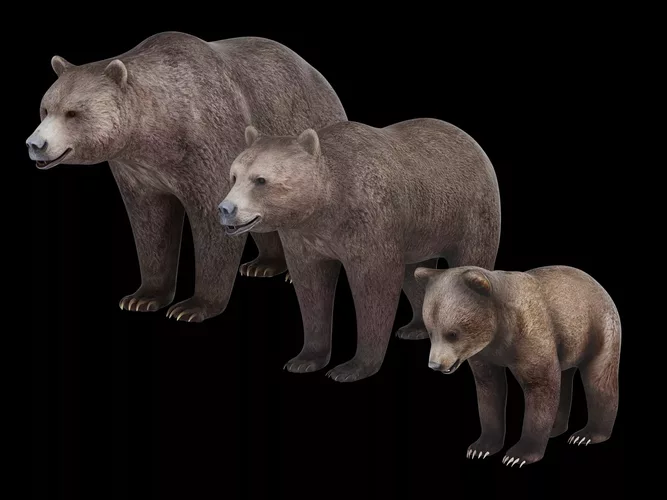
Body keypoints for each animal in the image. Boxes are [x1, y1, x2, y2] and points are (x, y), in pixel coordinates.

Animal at [25, 32, 347, 322]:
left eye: (72, 113)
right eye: (45, 108)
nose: (35, 144)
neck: (156, 131)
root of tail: (319, 76)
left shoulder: (208, 145)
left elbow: (211, 221)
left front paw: (192, 306)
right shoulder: (139, 172)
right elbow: (150, 223)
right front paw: (142, 298)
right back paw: (264, 264)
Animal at [217, 118, 501, 382]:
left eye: (260, 180)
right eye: (234, 175)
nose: (225, 208)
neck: (325, 206)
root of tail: (470, 140)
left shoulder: (369, 224)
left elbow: (375, 285)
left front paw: (350, 368)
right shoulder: (305, 239)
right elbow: (311, 287)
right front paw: (304, 359)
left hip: (470, 214)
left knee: (472, 258)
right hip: (420, 231)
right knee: (414, 274)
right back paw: (415, 327)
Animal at [415, 264, 621, 467]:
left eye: (453, 333)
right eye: (431, 331)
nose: (435, 364)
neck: (499, 331)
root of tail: (598, 285)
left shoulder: (529, 335)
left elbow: (540, 385)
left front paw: (518, 455)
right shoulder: (484, 354)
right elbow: (489, 390)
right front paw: (480, 448)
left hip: (598, 328)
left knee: (598, 378)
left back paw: (587, 435)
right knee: (564, 378)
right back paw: (556, 428)